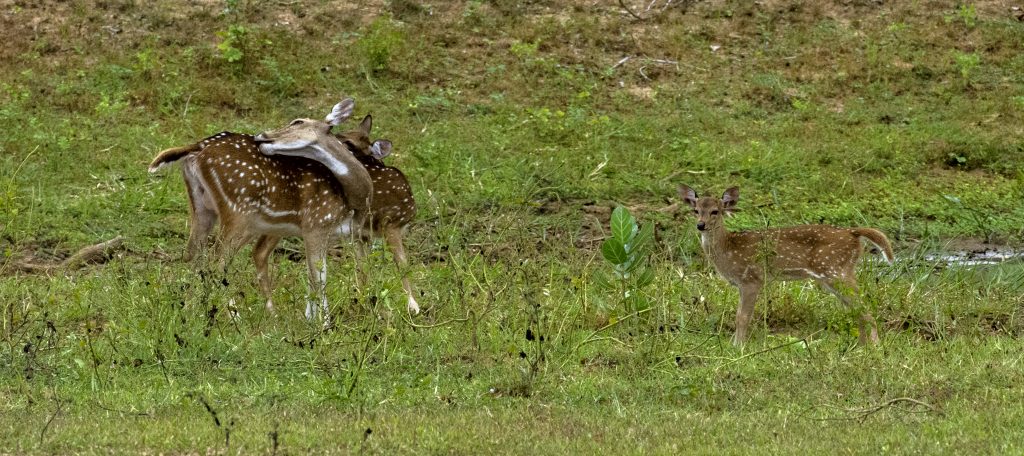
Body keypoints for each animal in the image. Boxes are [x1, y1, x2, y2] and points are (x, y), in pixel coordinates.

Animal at [146, 100, 374, 327]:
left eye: (298, 121)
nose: (261, 135)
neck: (352, 197)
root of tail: (198, 147)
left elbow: (314, 276)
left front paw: (311, 320)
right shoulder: (316, 224)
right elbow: (319, 276)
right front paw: (324, 325)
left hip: (202, 206)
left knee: (193, 254)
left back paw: (192, 311)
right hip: (238, 211)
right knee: (217, 261)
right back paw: (232, 316)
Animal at [679, 184, 897, 344]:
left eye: (715, 211)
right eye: (695, 210)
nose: (701, 225)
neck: (728, 249)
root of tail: (853, 233)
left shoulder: (751, 279)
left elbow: (742, 317)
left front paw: (738, 347)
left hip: (835, 270)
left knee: (863, 306)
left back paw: (875, 345)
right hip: (838, 273)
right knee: (855, 308)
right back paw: (861, 345)